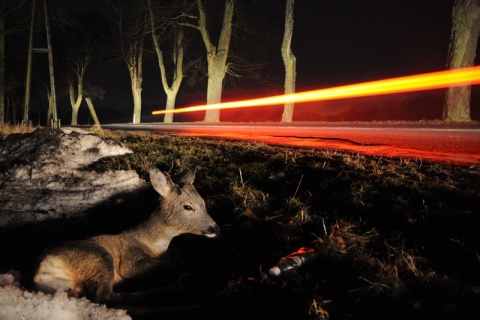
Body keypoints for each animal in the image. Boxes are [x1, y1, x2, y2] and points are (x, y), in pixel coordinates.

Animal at [32, 166, 220, 304]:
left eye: (204, 203)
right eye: (188, 207)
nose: (215, 228)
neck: (152, 244)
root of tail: (42, 270)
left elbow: (178, 253)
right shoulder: (130, 260)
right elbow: (173, 267)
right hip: (98, 259)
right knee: (103, 296)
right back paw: (169, 290)